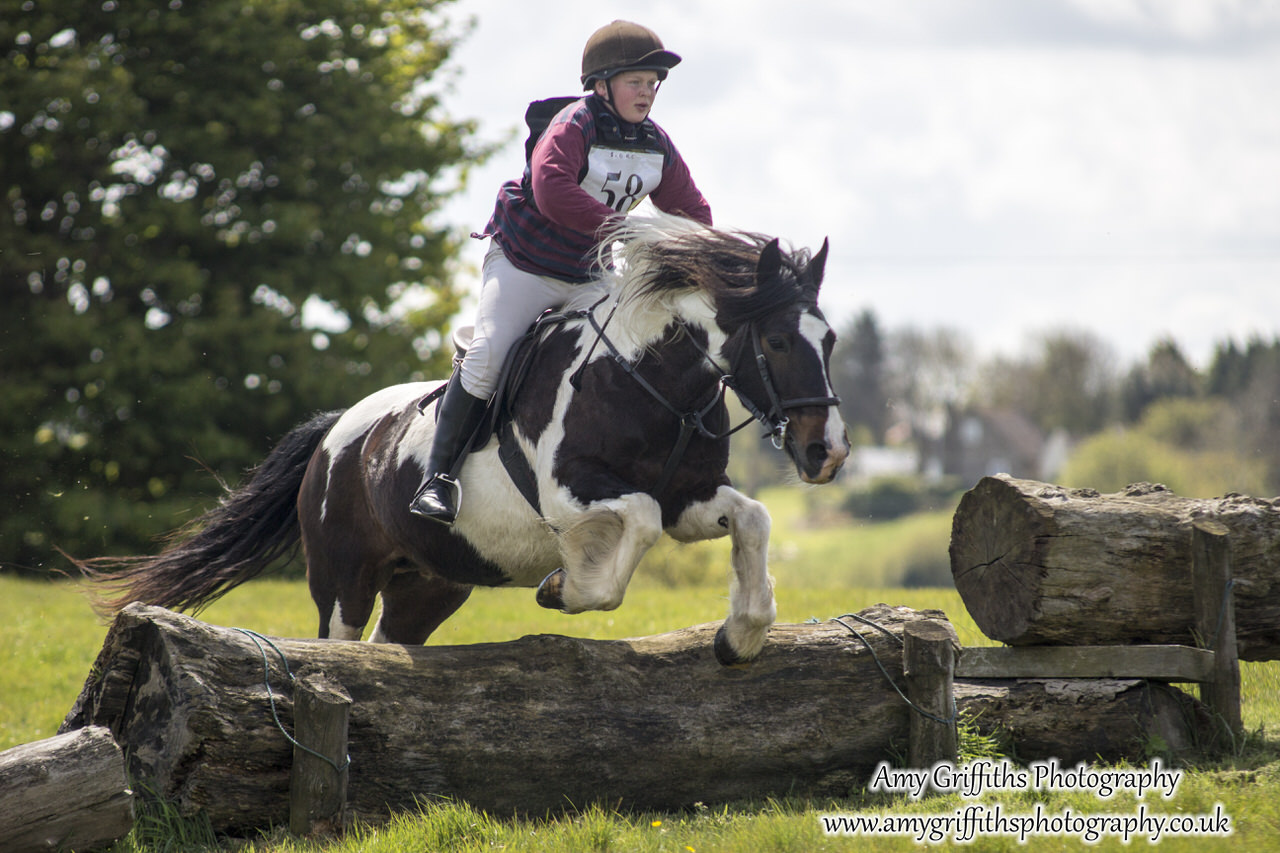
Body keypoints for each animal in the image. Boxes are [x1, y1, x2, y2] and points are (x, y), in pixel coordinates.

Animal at [87, 213, 849, 666]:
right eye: (778, 341)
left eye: (832, 340)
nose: (828, 452)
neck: (648, 378)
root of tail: (333, 434)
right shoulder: (573, 496)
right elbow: (632, 526)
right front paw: (561, 588)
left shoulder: (691, 497)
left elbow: (752, 517)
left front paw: (741, 634)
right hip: (342, 575)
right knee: (342, 643)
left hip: (430, 582)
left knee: (395, 641)